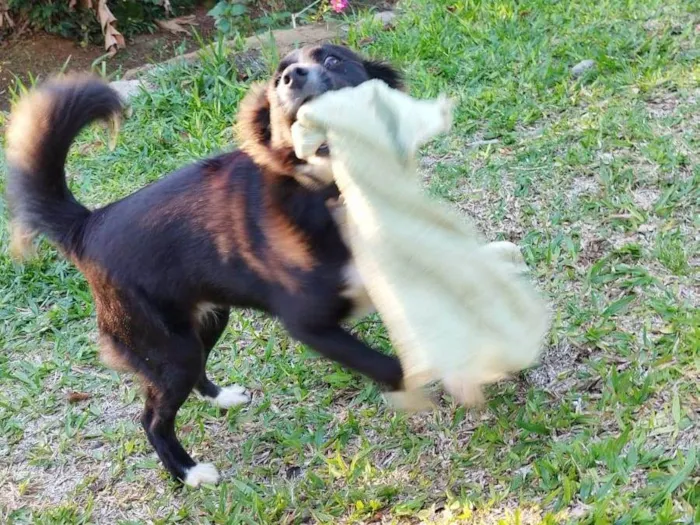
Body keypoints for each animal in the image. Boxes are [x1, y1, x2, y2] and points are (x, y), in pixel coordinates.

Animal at [5, 45, 408, 488]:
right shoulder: (310, 324)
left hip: (206, 322)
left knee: (194, 373)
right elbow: (390, 365)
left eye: (334, 60)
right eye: (277, 79)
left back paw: (223, 398)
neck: (330, 186)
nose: (293, 79)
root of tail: (89, 226)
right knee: (152, 419)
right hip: (169, 350)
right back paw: (189, 473)